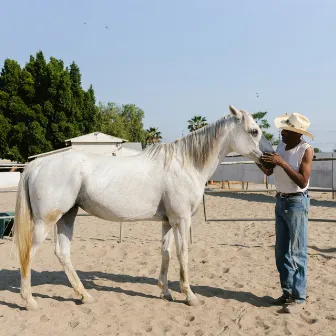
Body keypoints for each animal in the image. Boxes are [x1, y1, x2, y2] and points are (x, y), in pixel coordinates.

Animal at [14, 105, 274, 310]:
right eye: (254, 131)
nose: (271, 159)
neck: (185, 164)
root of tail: (36, 165)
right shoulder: (181, 220)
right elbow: (183, 254)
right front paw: (189, 296)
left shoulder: (168, 221)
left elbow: (166, 253)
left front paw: (165, 292)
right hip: (46, 221)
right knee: (28, 253)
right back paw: (30, 301)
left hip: (67, 216)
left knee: (63, 253)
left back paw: (84, 296)